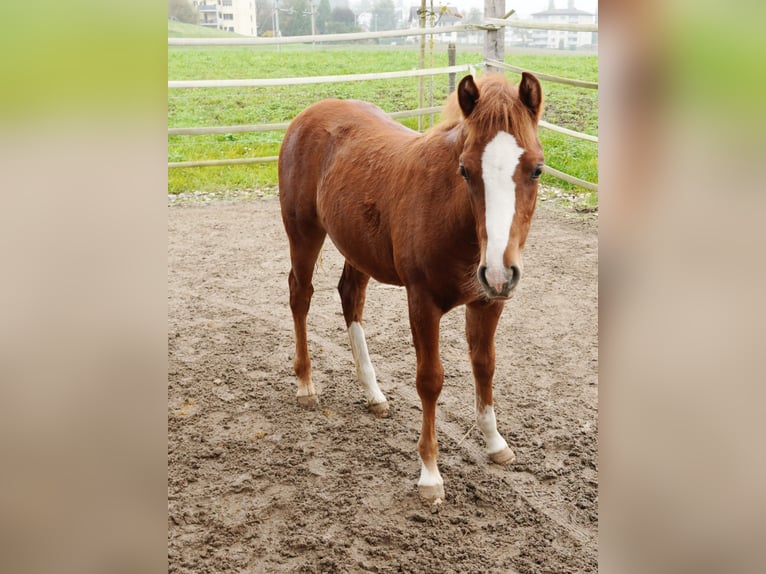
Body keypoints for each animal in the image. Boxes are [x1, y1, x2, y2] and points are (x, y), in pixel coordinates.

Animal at [280, 72, 544, 502]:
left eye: (537, 169)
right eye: (465, 170)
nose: (499, 272)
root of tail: (308, 114)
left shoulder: (488, 302)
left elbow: (484, 365)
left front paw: (495, 443)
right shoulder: (422, 302)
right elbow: (430, 380)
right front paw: (430, 474)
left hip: (358, 247)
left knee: (350, 297)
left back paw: (373, 394)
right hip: (303, 234)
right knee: (300, 296)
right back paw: (305, 385)